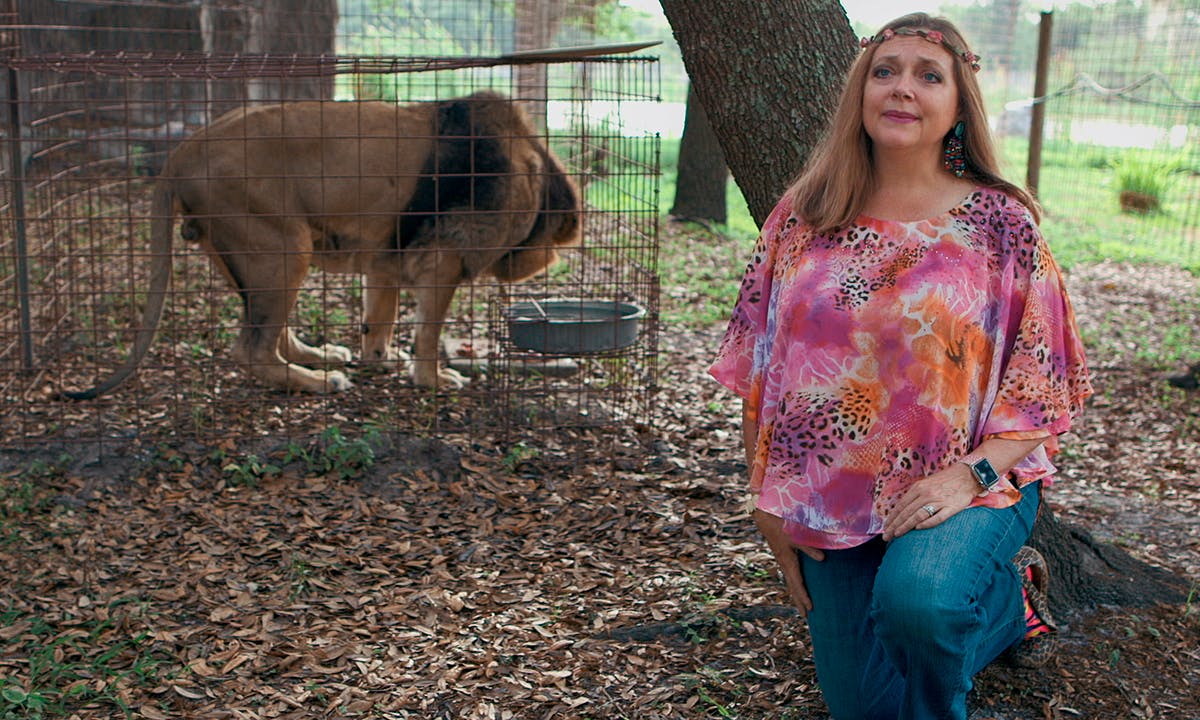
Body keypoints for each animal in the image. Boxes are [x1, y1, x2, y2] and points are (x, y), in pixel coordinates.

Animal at [65, 90, 580, 398]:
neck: (534, 172)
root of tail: (183, 149)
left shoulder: (386, 258)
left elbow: (379, 317)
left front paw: (380, 359)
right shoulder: (443, 261)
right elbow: (428, 332)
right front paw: (432, 378)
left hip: (252, 254)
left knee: (269, 331)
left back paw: (318, 356)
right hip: (285, 246)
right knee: (251, 349)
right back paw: (318, 381)